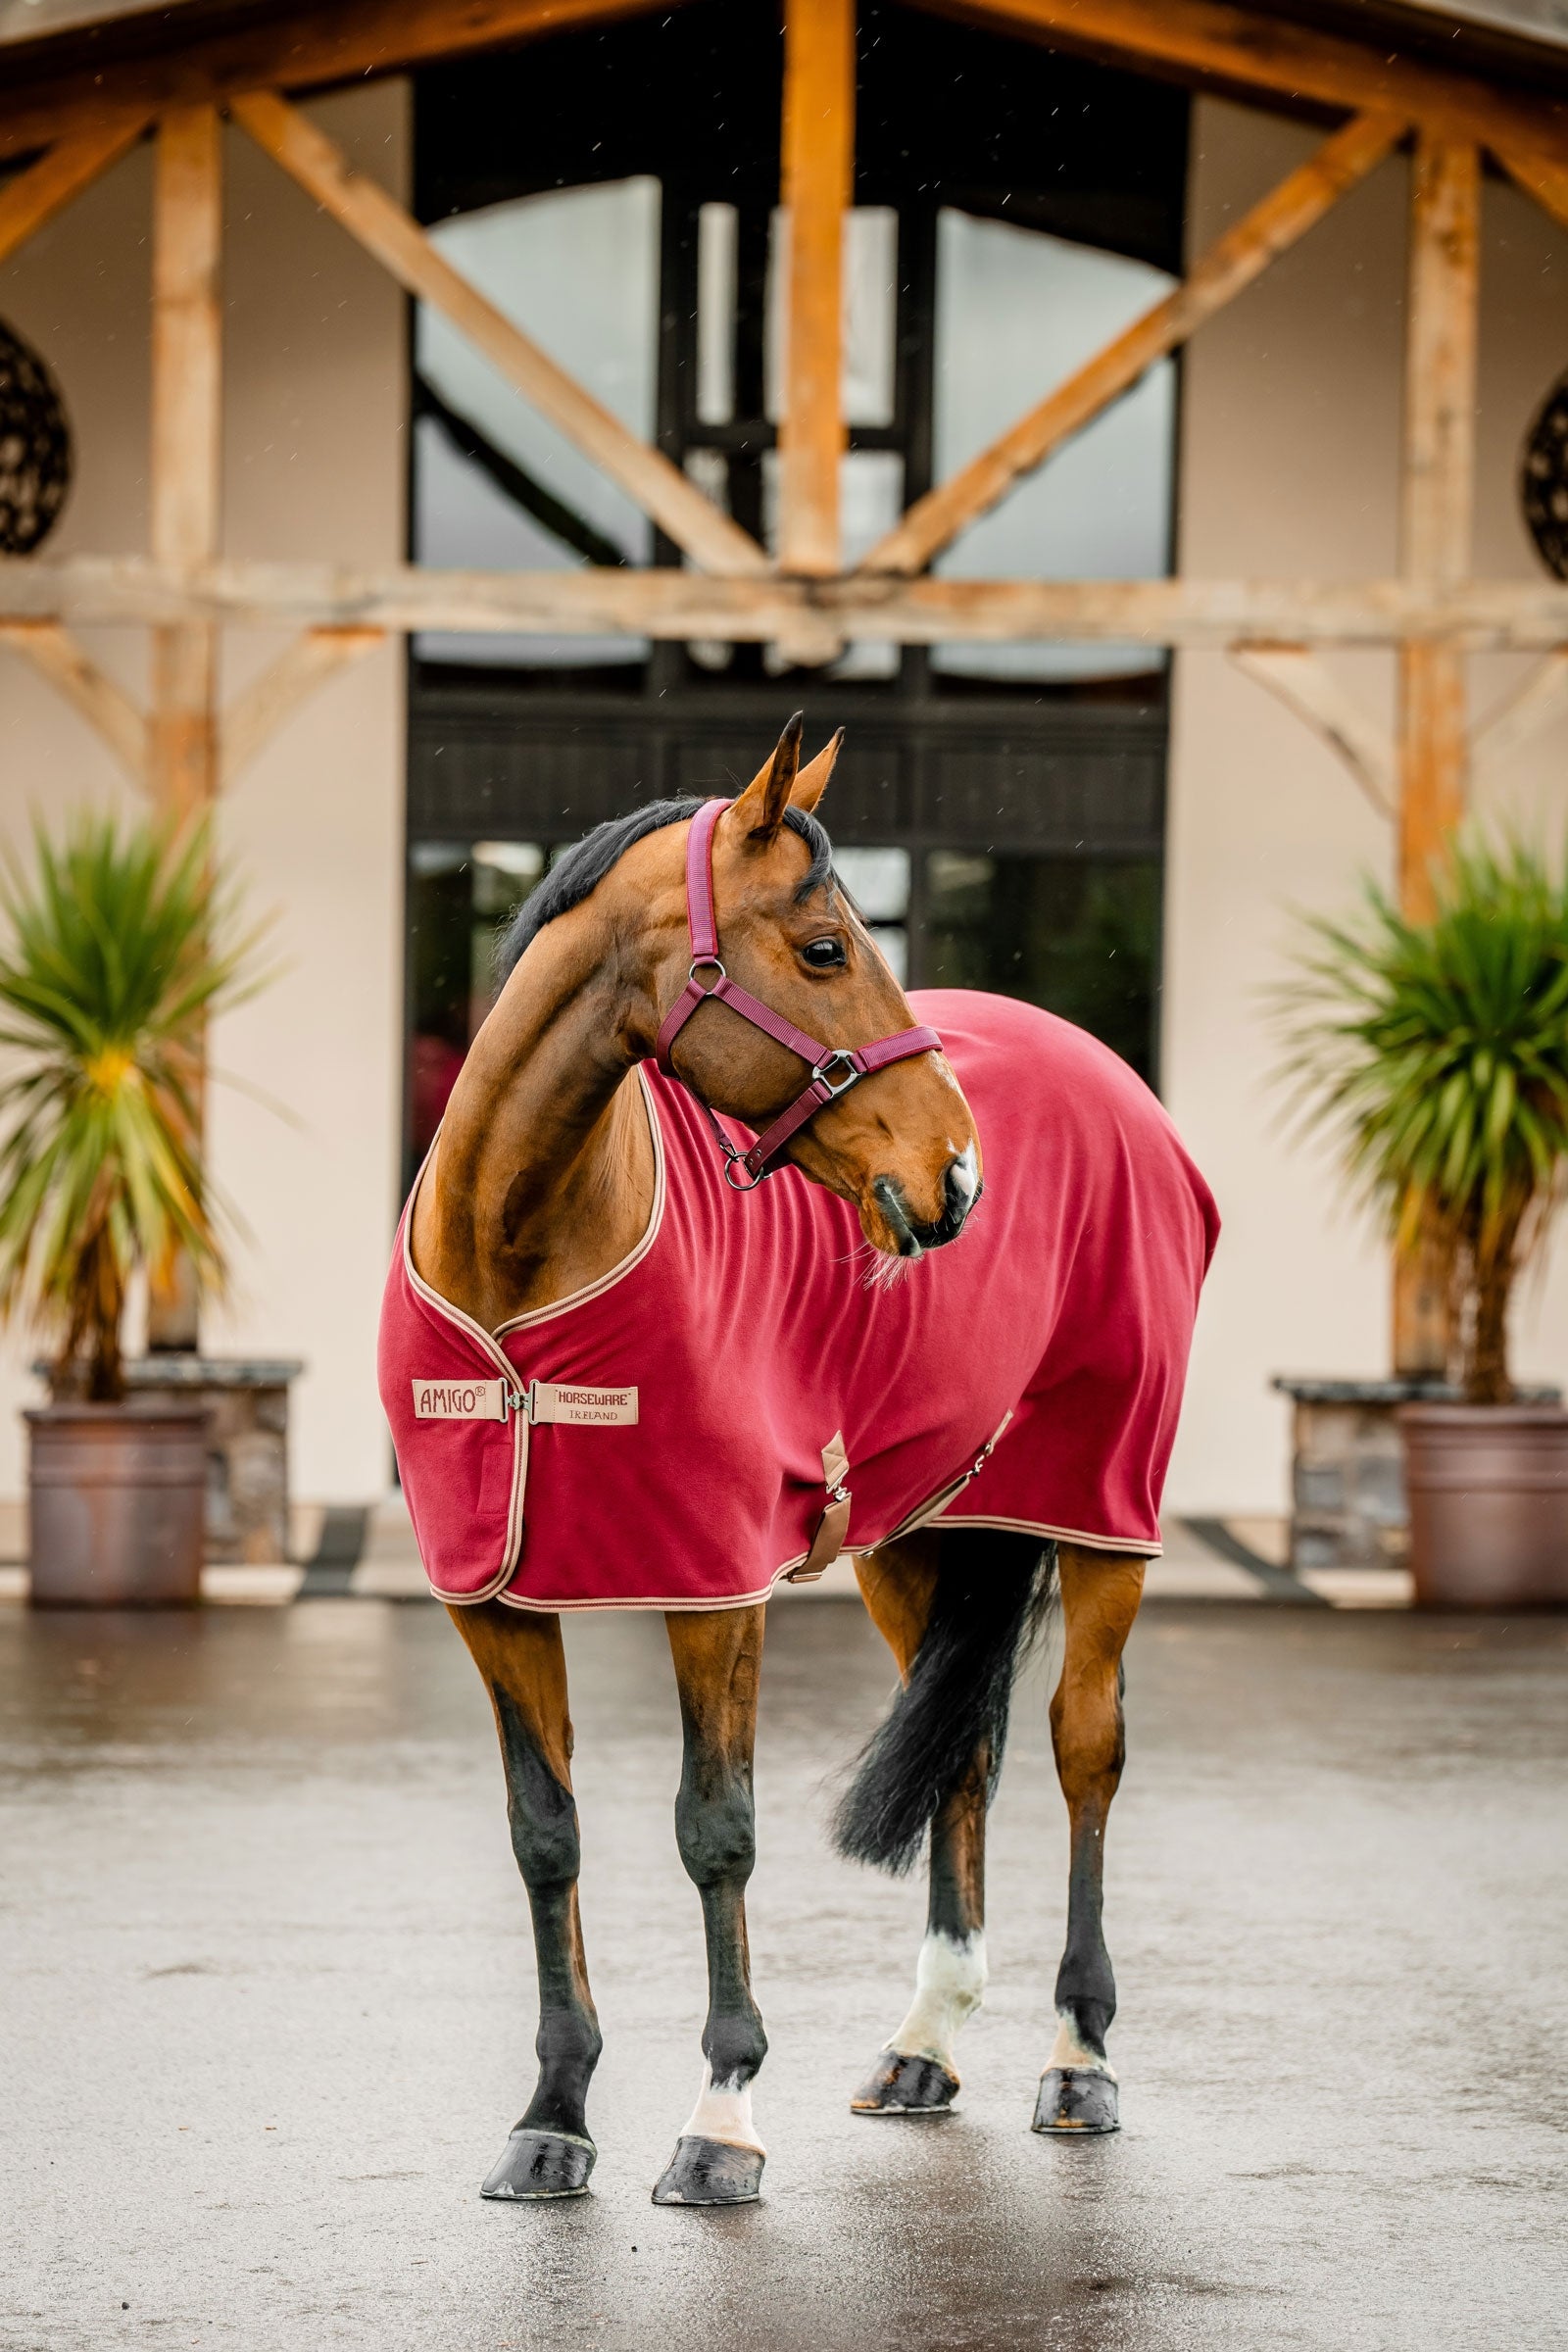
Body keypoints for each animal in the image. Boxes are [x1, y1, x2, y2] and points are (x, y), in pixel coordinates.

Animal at [380, 714, 1217, 2207]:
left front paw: (719, 2121)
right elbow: (546, 1835)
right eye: (825, 949)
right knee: (964, 1759)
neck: (524, 1255)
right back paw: (923, 2049)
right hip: (914, 1535)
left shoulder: (715, 1591)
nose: (959, 1178)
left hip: (1102, 1511)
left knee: (1084, 1749)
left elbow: (716, 1829)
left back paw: (1080, 2057)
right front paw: (553, 2117)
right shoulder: (493, 1600)